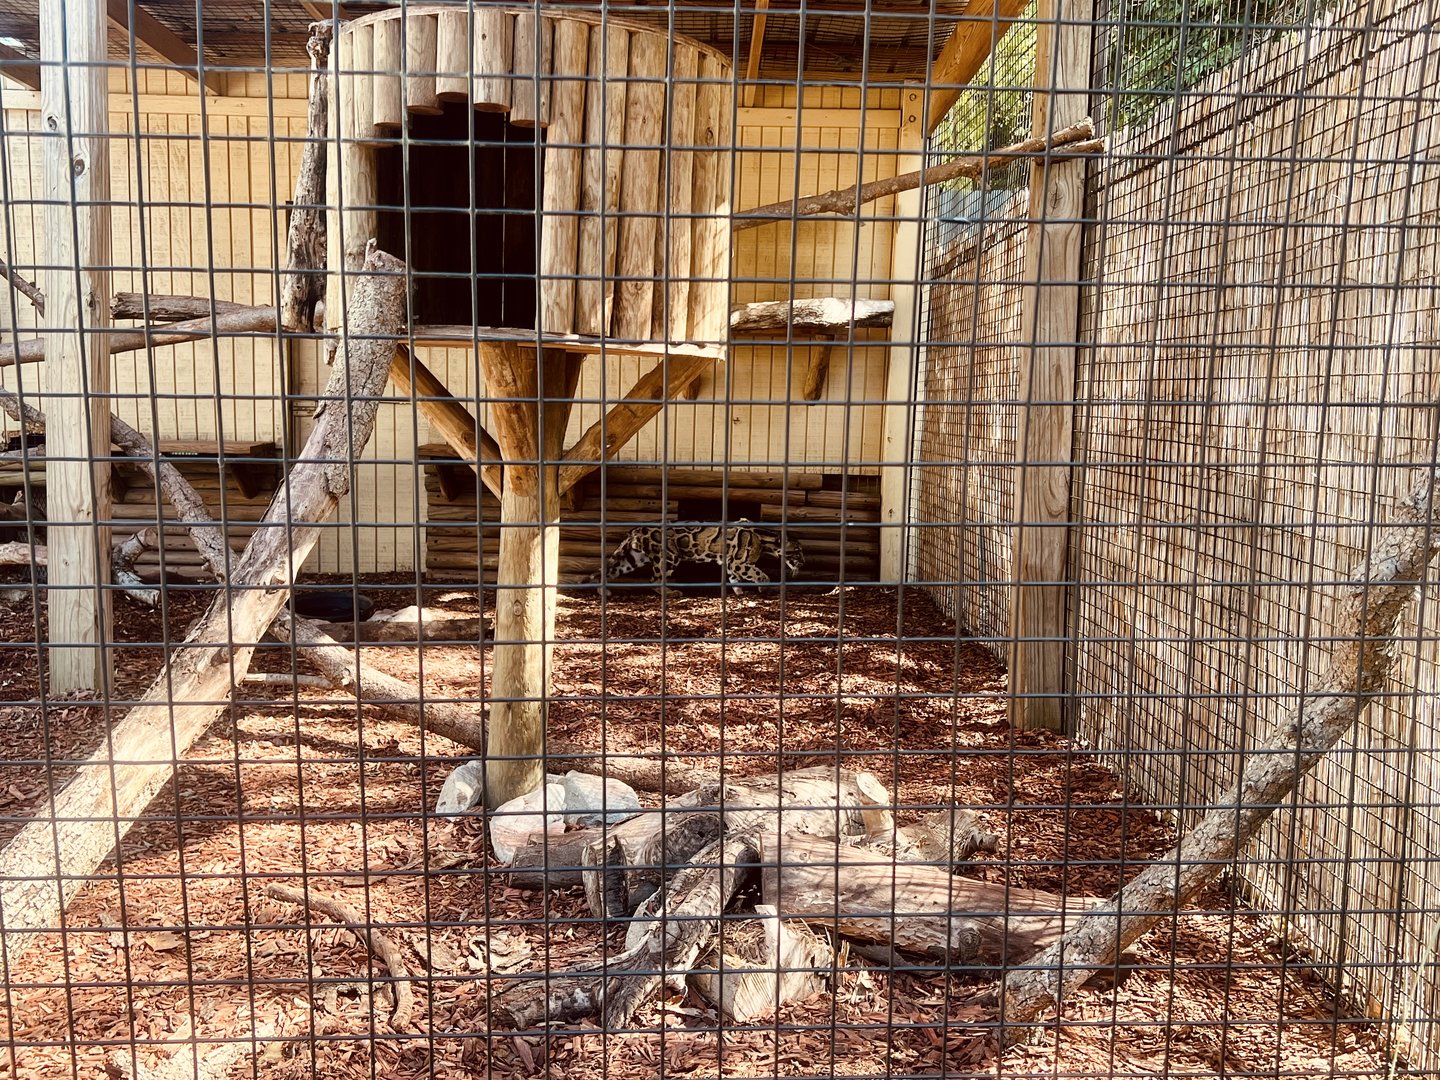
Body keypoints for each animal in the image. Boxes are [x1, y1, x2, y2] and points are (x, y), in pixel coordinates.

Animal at [585, 521, 805, 597]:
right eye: (798, 550)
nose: (804, 562)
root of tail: (636, 529)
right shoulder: (739, 562)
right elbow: (760, 574)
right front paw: (763, 588)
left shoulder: (731, 563)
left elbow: (734, 578)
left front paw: (739, 592)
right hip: (668, 557)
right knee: (655, 579)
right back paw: (671, 593)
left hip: (633, 557)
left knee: (611, 570)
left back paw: (602, 591)